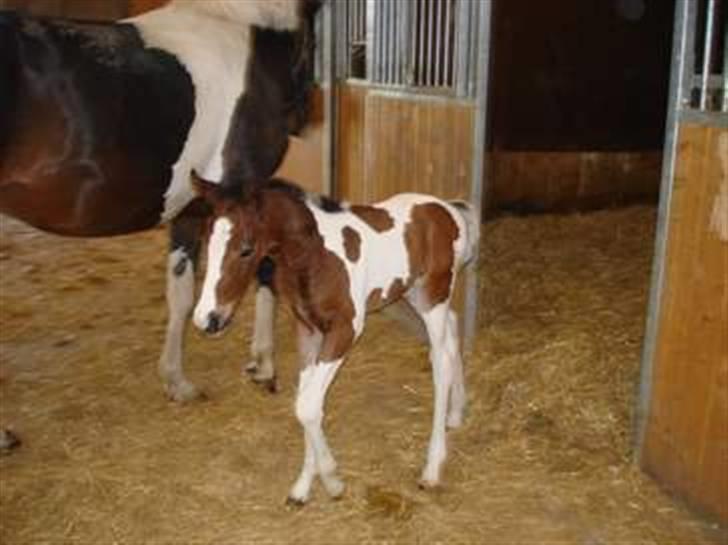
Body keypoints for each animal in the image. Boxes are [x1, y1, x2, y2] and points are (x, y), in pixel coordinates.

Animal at [0, 0, 318, 450]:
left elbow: (181, 296)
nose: (309, 113)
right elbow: (263, 272)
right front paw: (263, 365)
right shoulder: (244, 195)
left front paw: (176, 381)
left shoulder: (192, 209)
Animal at [192, 178, 478, 502]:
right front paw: (304, 486)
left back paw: (432, 468)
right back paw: (455, 413)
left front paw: (332, 480)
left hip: (434, 297)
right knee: (453, 332)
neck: (316, 257)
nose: (207, 318)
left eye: (245, 249)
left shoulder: (346, 330)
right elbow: (306, 401)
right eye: (206, 243)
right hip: (417, 294)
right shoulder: (309, 330)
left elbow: (307, 405)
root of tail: (449, 209)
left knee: (441, 360)